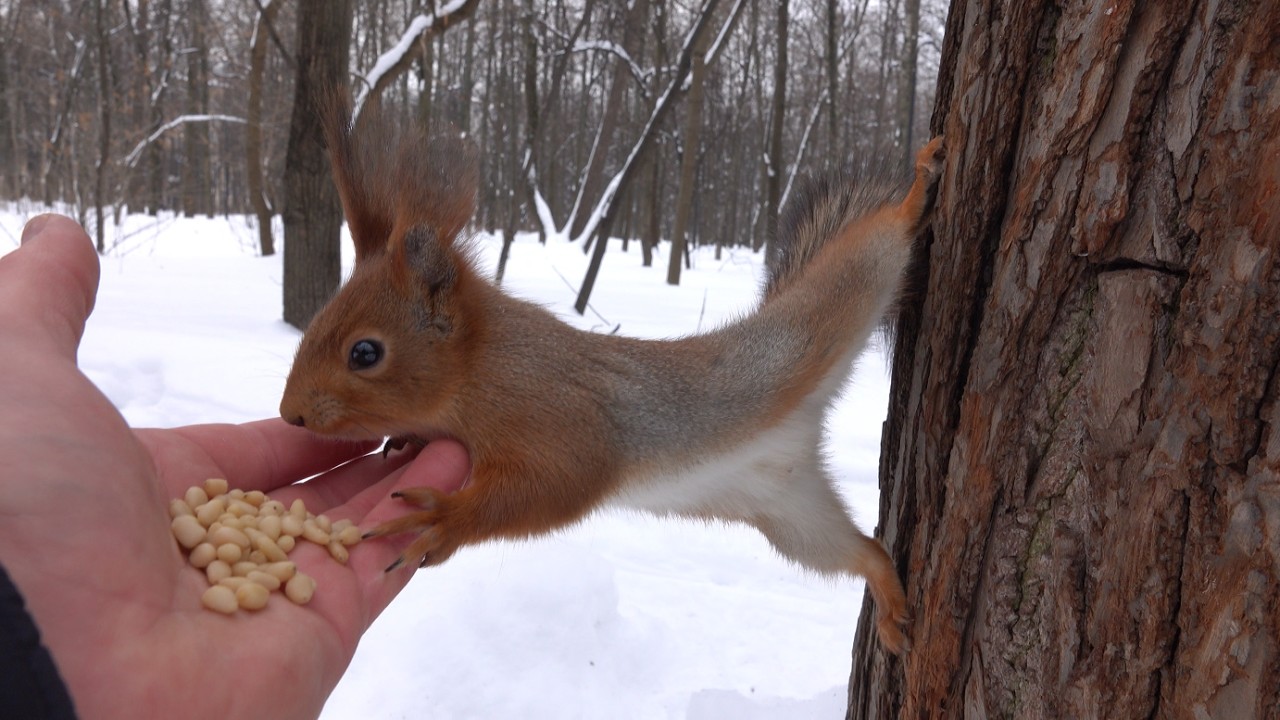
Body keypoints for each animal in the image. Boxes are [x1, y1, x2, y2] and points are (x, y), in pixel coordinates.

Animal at [279, 101, 945, 655]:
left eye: (366, 353)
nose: (292, 415)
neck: (483, 368)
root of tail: (803, 438)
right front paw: (409, 440)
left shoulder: (563, 420)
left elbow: (560, 483)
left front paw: (444, 519)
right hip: (792, 519)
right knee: (862, 552)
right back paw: (889, 598)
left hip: (838, 298)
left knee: (879, 244)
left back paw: (917, 189)